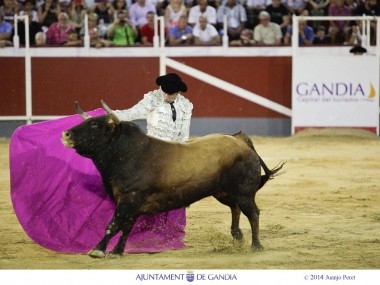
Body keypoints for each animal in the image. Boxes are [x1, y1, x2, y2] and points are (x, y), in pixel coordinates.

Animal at [60, 100, 284, 258]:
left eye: (94, 126)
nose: (66, 134)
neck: (127, 153)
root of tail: (241, 142)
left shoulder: (129, 199)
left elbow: (113, 224)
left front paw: (97, 250)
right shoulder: (131, 204)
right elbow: (126, 227)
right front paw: (116, 252)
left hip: (244, 192)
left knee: (253, 213)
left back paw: (256, 245)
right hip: (223, 192)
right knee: (235, 208)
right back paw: (237, 236)